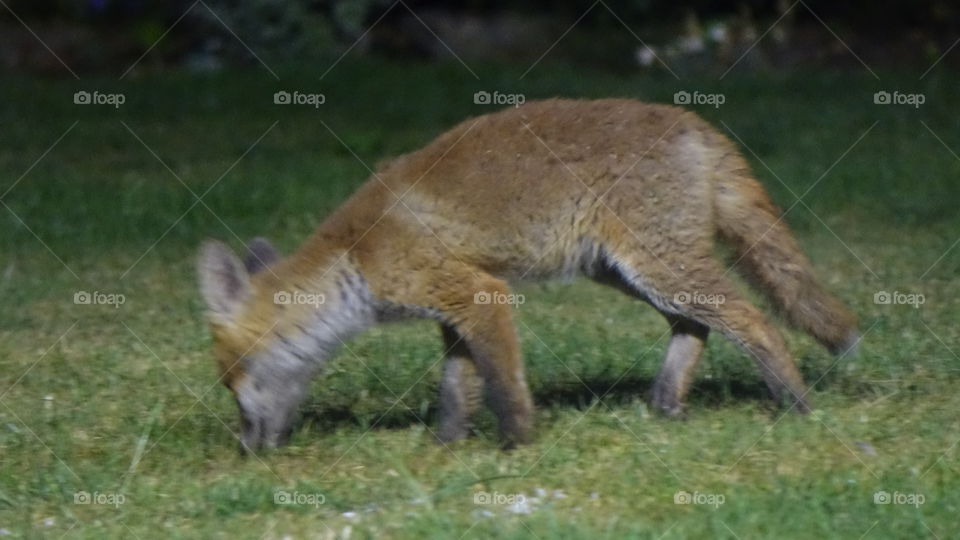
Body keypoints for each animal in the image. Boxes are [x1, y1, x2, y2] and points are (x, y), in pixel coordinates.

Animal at [198, 98, 859, 452]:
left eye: (234, 383)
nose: (247, 451)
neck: (354, 257)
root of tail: (690, 120)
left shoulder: (482, 295)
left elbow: (504, 385)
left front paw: (516, 446)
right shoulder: (457, 309)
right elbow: (457, 387)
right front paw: (447, 447)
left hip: (658, 266)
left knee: (752, 319)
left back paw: (796, 405)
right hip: (625, 272)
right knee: (693, 327)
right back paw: (669, 404)